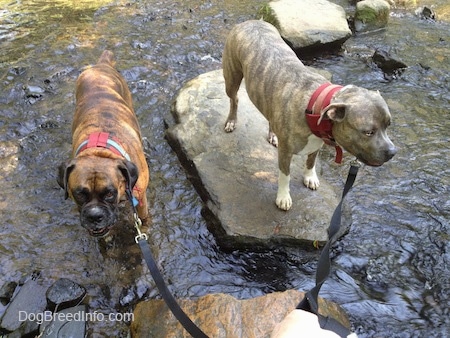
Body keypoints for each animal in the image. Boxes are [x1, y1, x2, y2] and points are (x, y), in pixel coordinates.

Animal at [57, 50, 149, 236]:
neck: (100, 150)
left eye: (109, 193)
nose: (94, 216)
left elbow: (143, 220)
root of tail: (101, 65)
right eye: (79, 193)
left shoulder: (141, 200)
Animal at [223, 19, 396, 210]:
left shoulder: (316, 142)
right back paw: (231, 121)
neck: (316, 107)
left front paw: (310, 177)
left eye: (388, 125)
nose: (393, 152)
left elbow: (311, 160)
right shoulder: (286, 152)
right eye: (368, 132)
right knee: (234, 99)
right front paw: (283, 196)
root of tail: (251, 21)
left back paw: (273, 134)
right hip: (231, 78)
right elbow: (285, 175)